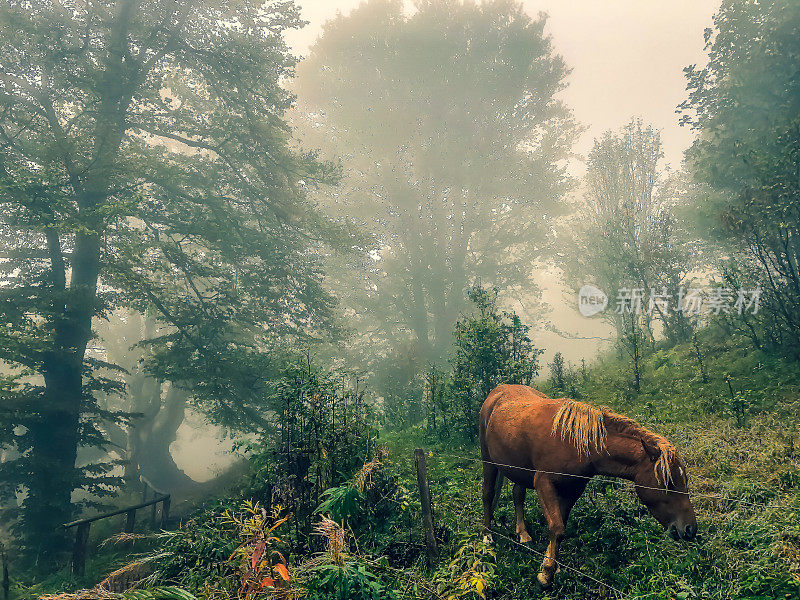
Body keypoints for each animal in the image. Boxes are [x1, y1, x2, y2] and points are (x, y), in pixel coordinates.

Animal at [478, 384, 696, 584]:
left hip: (518, 470)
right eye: (668, 483)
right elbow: (556, 527)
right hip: (488, 461)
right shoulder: (544, 483)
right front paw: (546, 574)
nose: (690, 529)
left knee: (518, 495)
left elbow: (560, 527)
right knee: (488, 495)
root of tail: (498, 390)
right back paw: (487, 537)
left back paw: (523, 535)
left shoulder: (572, 489)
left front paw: (552, 565)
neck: (574, 442)